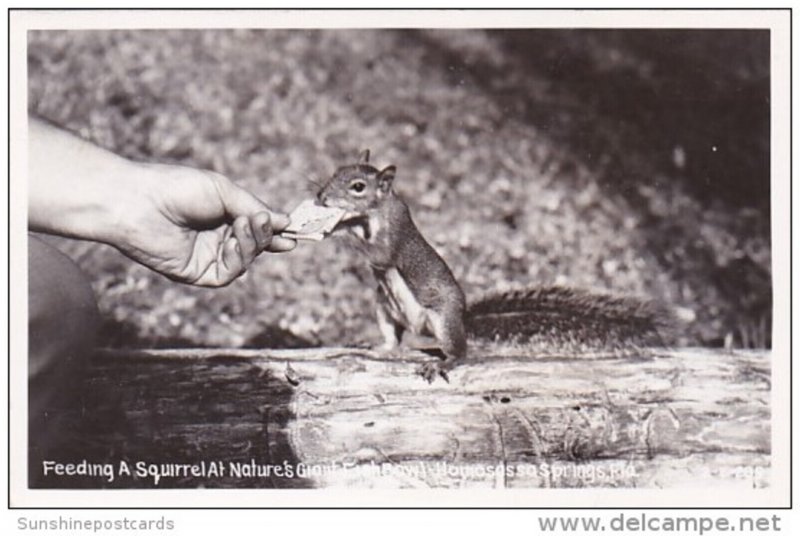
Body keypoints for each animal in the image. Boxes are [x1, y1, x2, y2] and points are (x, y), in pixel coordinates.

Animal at [316, 153, 672, 384]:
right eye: (337, 171)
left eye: (358, 187)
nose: (320, 196)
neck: (376, 211)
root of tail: (462, 319)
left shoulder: (392, 236)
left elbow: (378, 252)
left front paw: (335, 228)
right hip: (384, 307)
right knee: (393, 340)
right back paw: (377, 345)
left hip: (443, 320)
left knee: (461, 351)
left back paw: (445, 363)